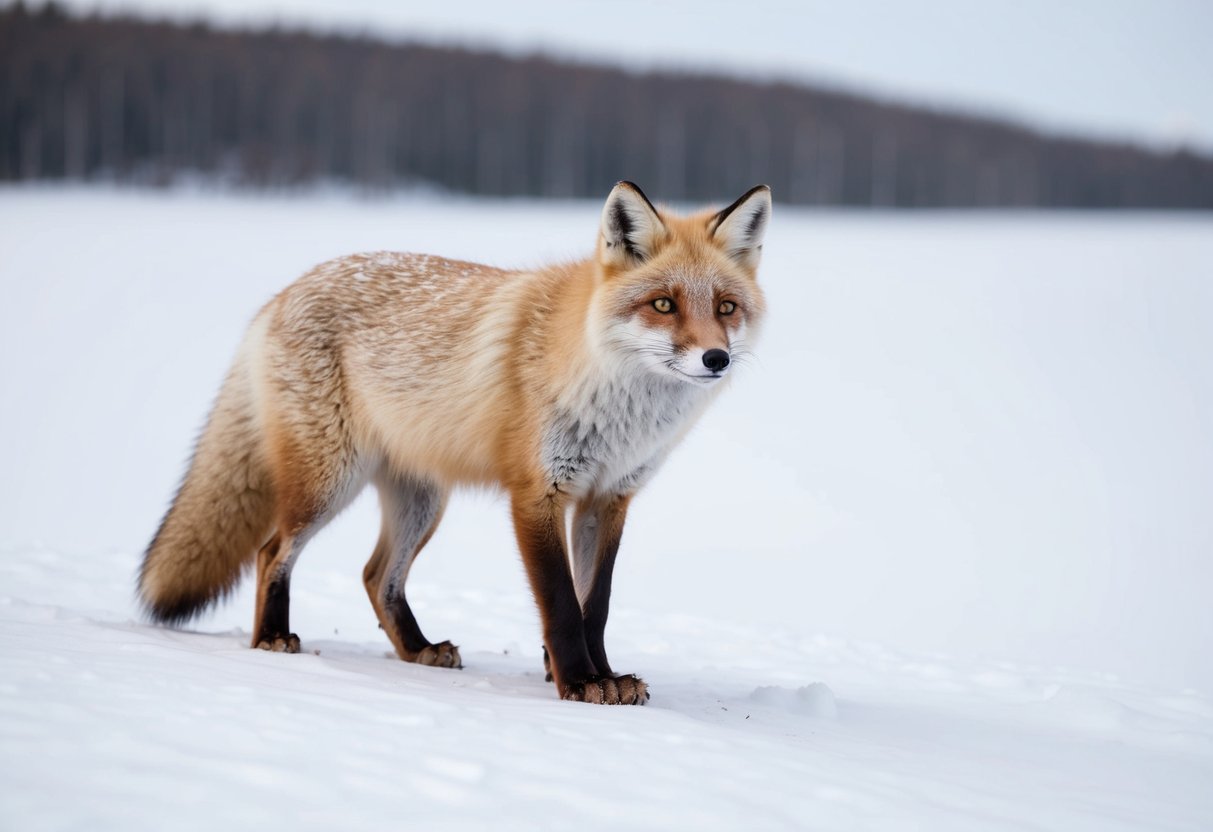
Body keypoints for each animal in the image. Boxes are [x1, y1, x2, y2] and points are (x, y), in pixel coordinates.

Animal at [138, 181, 770, 704]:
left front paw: (604, 675)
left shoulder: (607, 498)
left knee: (376, 575)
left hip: (422, 501)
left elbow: (598, 606)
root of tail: (282, 293)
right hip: (328, 482)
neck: (615, 404)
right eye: (663, 304)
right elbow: (563, 605)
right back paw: (272, 638)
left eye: (726, 308)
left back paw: (417, 649)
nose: (716, 358)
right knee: (273, 552)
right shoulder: (536, 493)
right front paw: (578, 681)